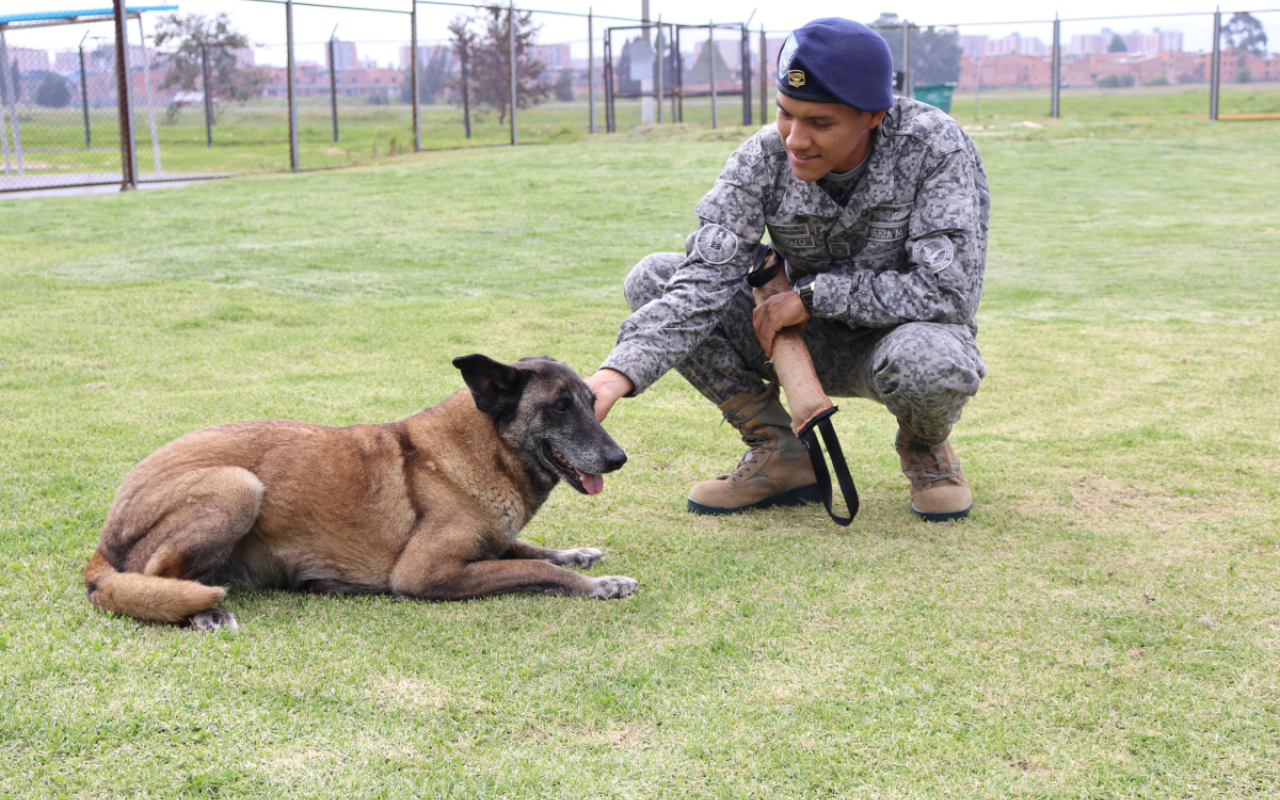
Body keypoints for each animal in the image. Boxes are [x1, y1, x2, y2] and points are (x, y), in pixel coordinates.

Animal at [83, 353, 634, 627]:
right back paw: (202, 611)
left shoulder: (490, 544)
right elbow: (536, 568)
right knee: (159, 578)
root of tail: (104, 540)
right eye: (559, 406)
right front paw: (595, 586)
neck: (484, 448)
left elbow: (531, 550)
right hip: (237, 485)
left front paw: (581, 556)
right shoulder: (425, 573)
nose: (618, 458)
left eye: (591, 401)